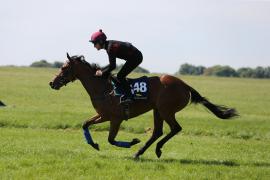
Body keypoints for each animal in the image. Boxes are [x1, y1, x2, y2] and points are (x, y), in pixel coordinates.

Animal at [49, 52, 237, 158]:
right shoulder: (103, 115)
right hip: (157, 110)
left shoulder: (115, 118)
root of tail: (184, 85)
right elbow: (85, 124)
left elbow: (111, 139)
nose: (52, 83)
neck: (103, 88)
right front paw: (94, 144)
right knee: (158, 131)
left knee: (175, 128)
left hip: (166, 110)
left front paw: (133, 141)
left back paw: (154, 149)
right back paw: (141, 152)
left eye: (64, 68)